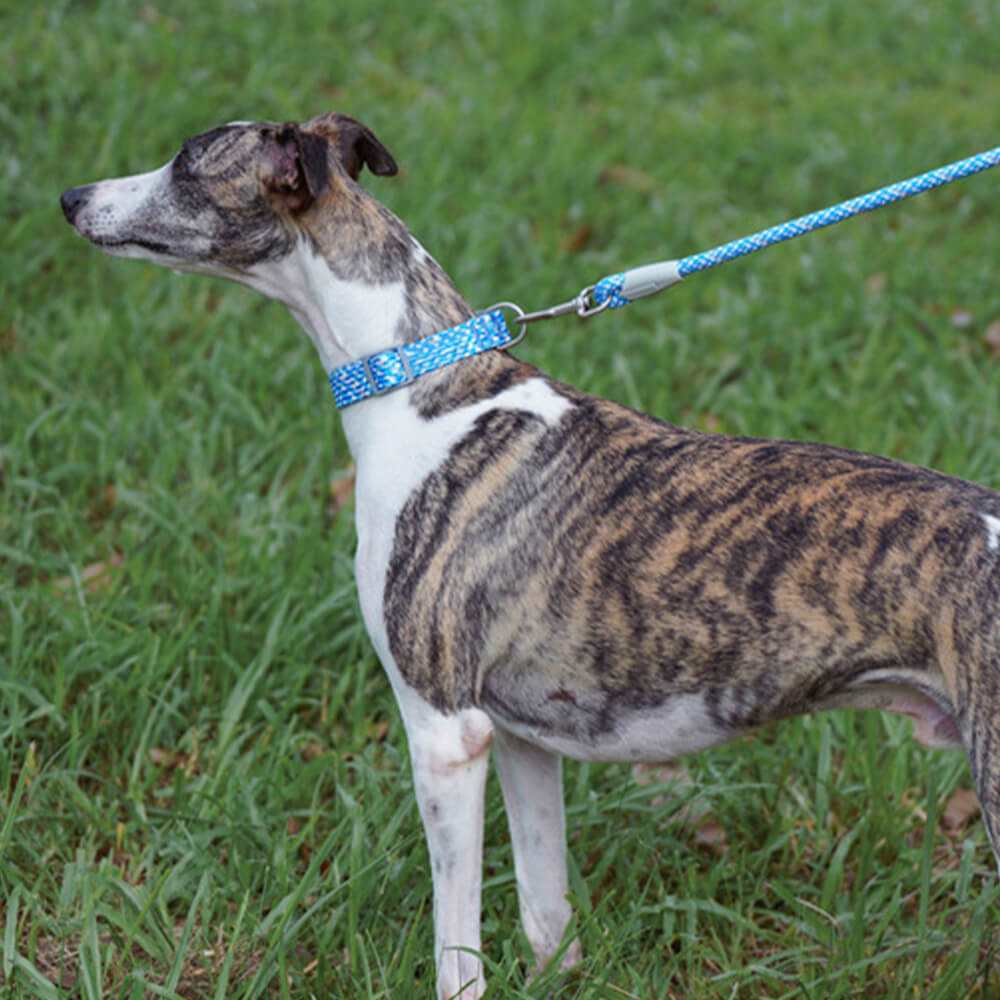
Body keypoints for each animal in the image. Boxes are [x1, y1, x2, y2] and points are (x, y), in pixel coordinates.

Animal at [60, 113, 1000, 996]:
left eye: (188, 163)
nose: (70, 198)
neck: (421, 388)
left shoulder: (445, 733)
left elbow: (457, 949)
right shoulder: (519, 737)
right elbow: (547, 910)